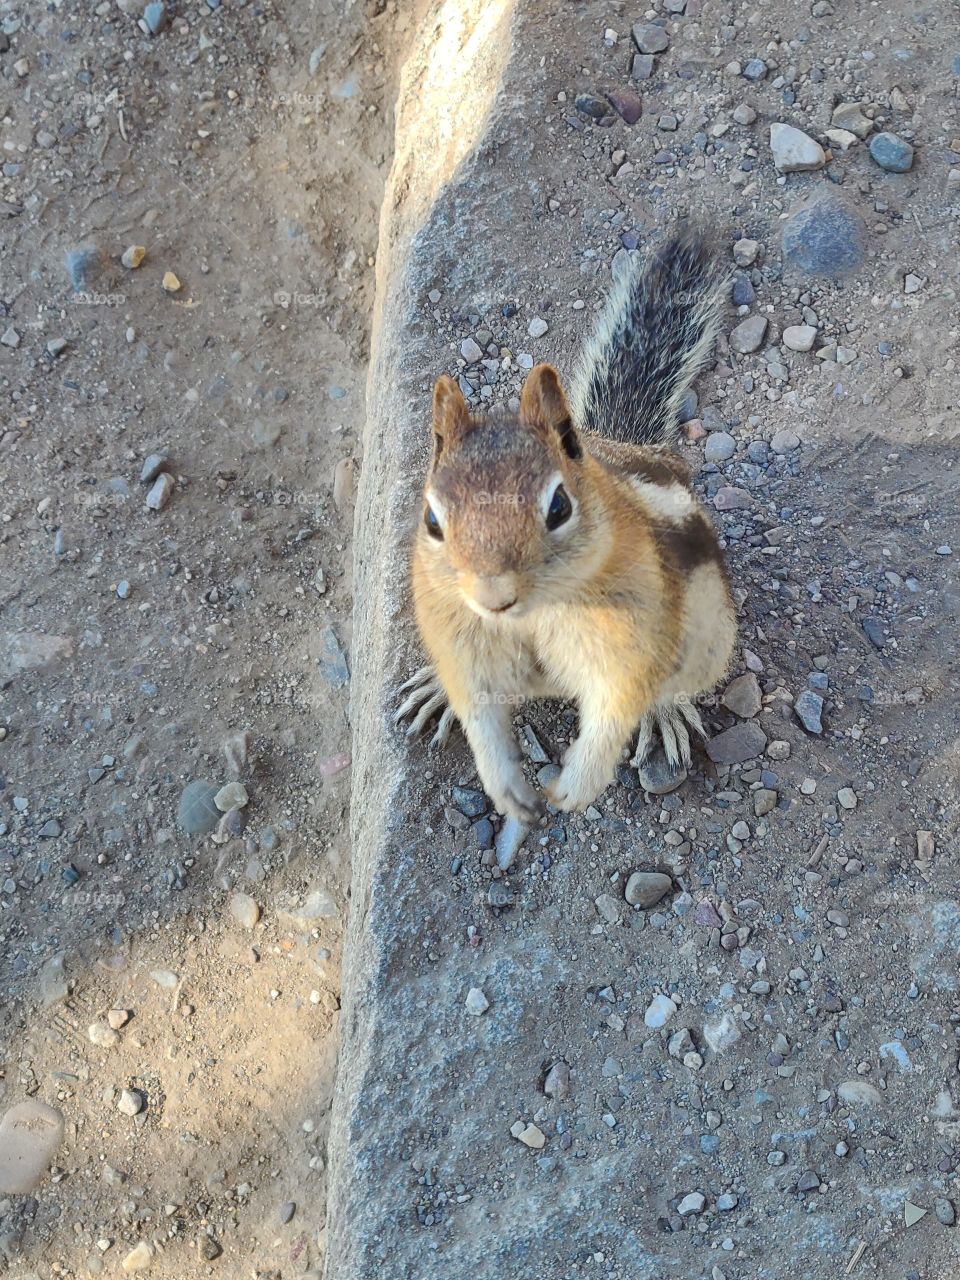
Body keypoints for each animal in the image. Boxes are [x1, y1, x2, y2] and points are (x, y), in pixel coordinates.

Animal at [396, 228, 737, 825]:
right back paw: (433, 689)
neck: (527, 619)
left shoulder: (630, 640)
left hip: (710, 642)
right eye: (433, 520)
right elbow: (480, 716)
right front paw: (504, 786)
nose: (493, 595)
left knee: (676, 686)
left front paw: (576, 785)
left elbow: (615, 706)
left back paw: (665, 714)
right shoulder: (461, 642)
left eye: (558, 508)